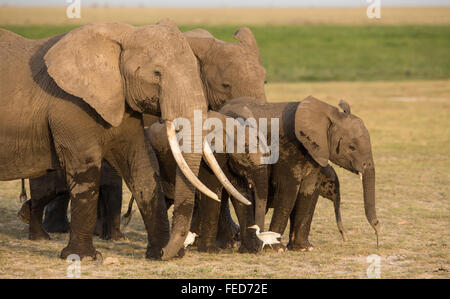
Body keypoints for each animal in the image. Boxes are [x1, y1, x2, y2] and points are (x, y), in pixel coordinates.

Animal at [0, 21, 246, 260]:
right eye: (157, 73)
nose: (169, 252)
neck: (124, 34)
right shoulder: (70, 107)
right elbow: (85, 173)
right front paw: (84, 258)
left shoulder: (123, 102)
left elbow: (142, 168)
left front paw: (161, 253)